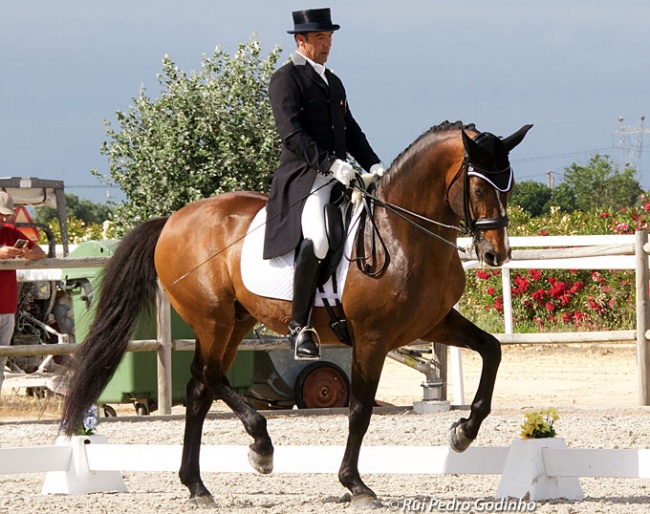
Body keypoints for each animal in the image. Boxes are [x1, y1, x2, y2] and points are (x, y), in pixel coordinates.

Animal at [60, 121, 528, 508]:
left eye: (508, 188)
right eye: (479, 189)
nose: (495, 255)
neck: (403, 236)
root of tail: (173, 219)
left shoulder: (434, 322)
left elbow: (492, 351)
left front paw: (464, 432)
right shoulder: (372, 337)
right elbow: (360, 409)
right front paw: (355, 484)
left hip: (237, 321)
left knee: (200, 387)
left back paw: (198, 485)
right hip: (213, 319)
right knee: (206, 377)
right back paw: (260, 447)